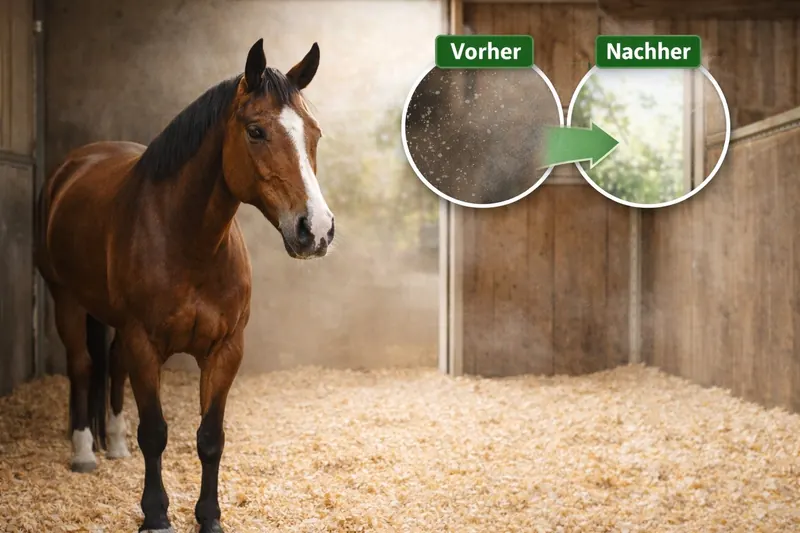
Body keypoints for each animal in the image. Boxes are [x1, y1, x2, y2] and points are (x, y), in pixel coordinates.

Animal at [34, 38, 334, 533]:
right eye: (256, 131)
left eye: (314, 133)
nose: (317, 230)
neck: (188, 240)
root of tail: (73, 166)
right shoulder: (143, 343)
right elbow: (155, 433)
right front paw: (156, 515)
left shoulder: (225, 350)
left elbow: (210, 437)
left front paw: (208, 517)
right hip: (67, 301)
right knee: (81, 365)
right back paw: (83, 453)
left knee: (111, 365)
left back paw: (114, 443)